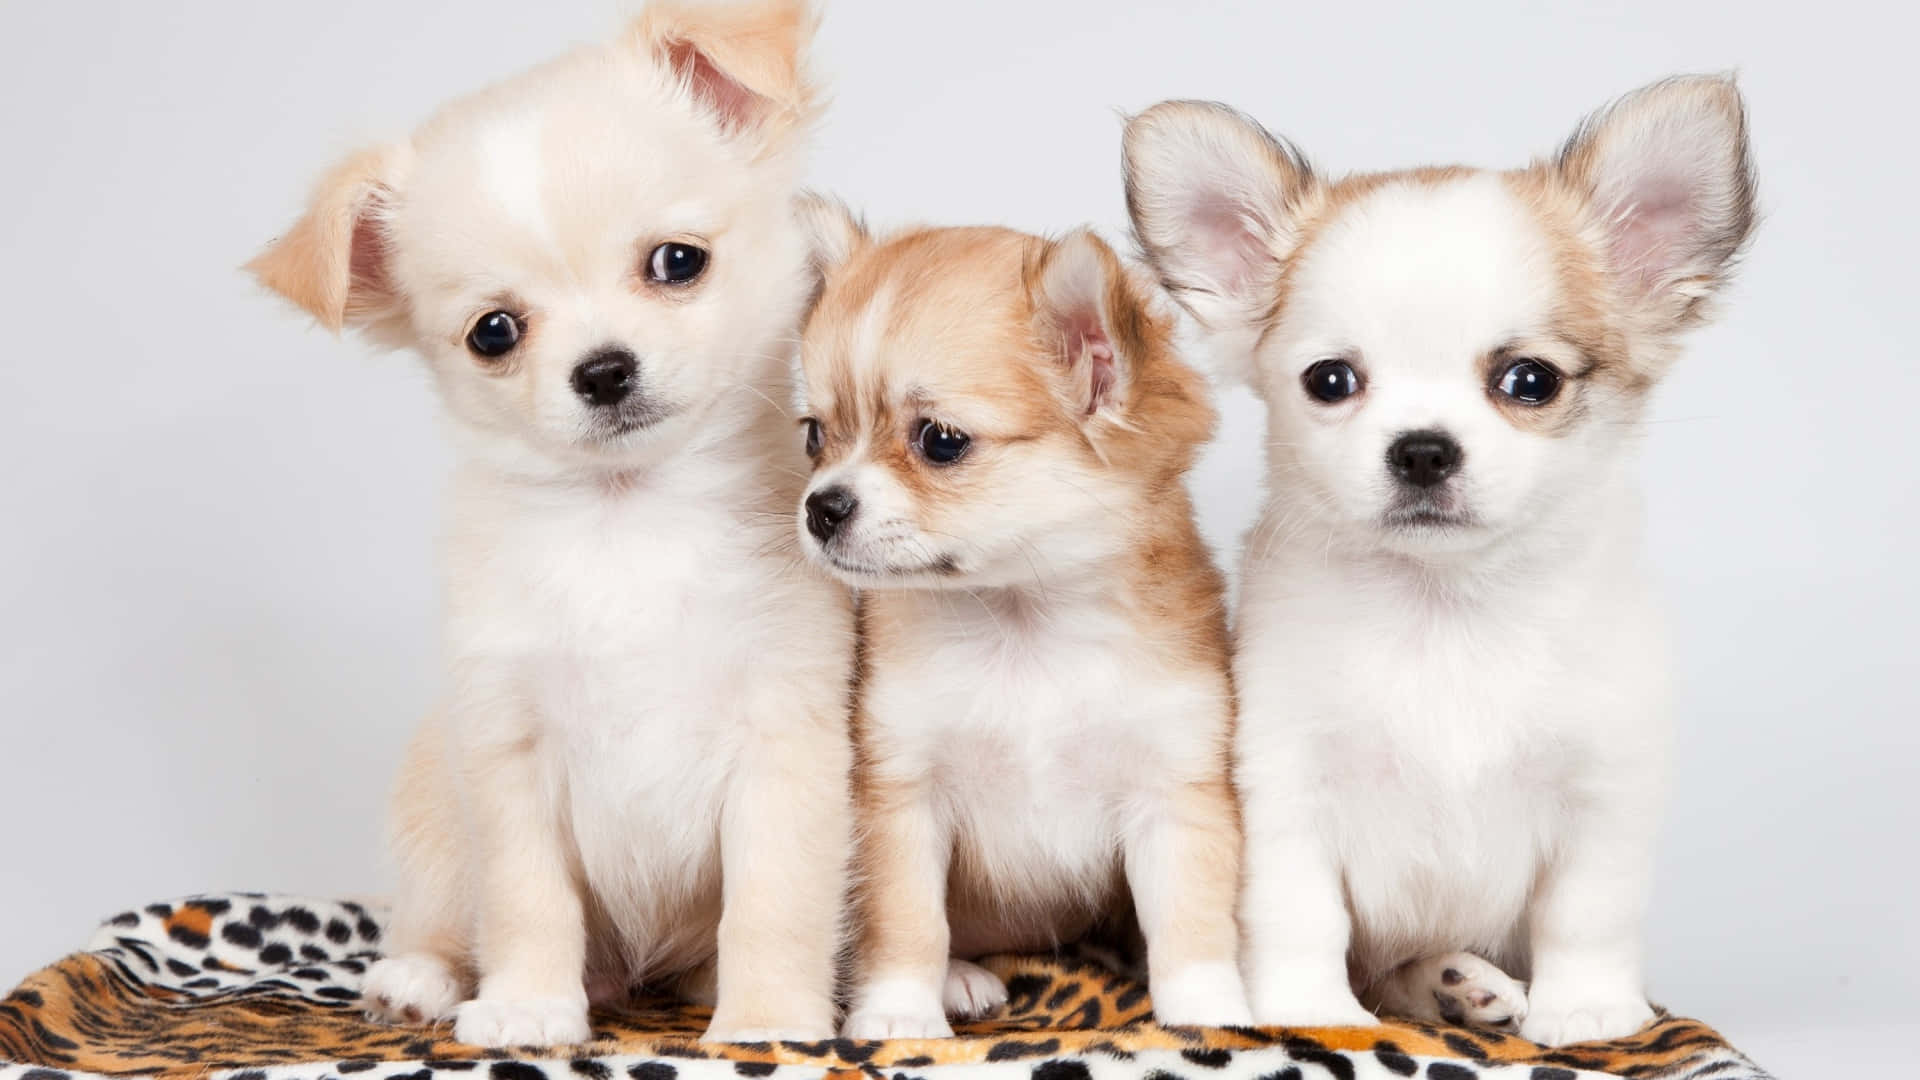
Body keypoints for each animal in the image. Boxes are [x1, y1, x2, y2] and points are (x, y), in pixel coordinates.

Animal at [249, 0, 856, 1045]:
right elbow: (527, 900)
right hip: (433, 812)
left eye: (677, 263)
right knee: (440, 919)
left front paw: (768, 1019)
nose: (603, 370)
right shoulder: (507, 755)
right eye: (494, 332)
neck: (629, 520)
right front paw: (529, 1006)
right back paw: (418, 980)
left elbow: (774, 902)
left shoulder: (789, 740)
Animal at [787, 212, 1251, 1037]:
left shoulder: (1175, 792)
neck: (1022, 626)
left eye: (940, 441)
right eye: (815, 436)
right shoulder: (902, 797)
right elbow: (907, 922)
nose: (822, 506)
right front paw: (900, 1013)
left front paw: (1209, 1011)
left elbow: (1191, 922)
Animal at [1121, 77, 1758, 1045]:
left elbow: (1586, 913)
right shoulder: (1287, 785)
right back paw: (1451, 986)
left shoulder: (1601, 791)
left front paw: (1587, 1012)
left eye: (1530, 381)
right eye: (1330, 381)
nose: (1422, 448)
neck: (1446, 613)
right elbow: (1300, 913)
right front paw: (1308, 1010)